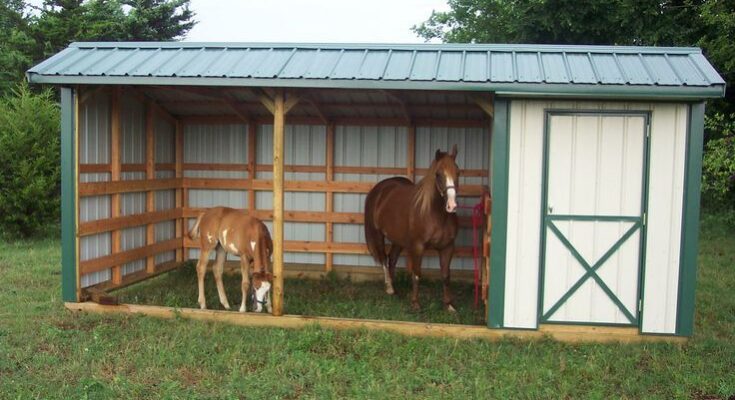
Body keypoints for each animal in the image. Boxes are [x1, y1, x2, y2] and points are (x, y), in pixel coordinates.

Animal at [364, 145, 460, 310]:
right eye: (438, 174)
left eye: (458, 172)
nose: (451, 206)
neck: (435, 214)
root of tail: (380, 189)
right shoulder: (417, 247)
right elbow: (416, 274)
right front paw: (415, 303)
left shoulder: (447, 247)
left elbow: (446, 275)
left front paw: (449, 305)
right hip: (378, 235)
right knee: (384, 258)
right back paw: (389, 288)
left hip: (397, 239)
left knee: (392, 259)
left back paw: (395, 289)